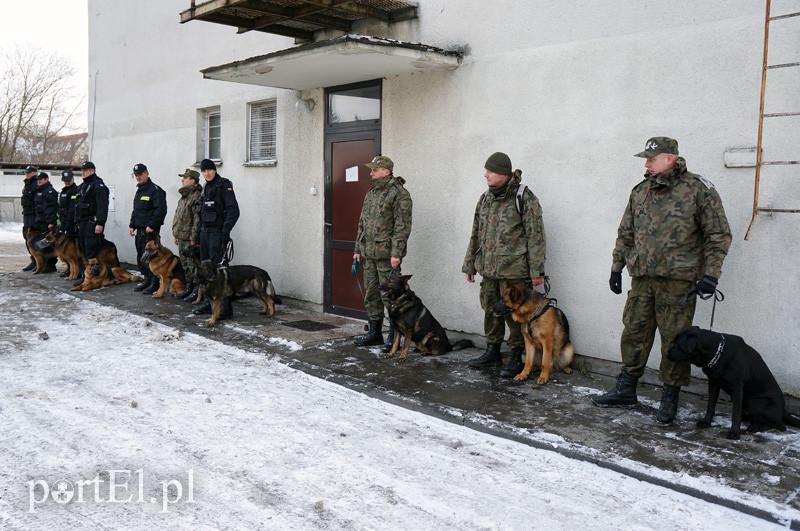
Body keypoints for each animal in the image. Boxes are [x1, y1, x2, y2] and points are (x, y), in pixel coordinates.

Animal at [668, 326, 800, 442]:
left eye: (678, 345)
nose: (666, 352)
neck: (716, 352)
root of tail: (783, 410)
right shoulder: (713, 382)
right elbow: (711, 404)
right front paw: (706, 422)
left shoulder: (737, 386)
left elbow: (735, 413)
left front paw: (734, 433)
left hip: (755, 403)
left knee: (781, 426)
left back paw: (756, 426)